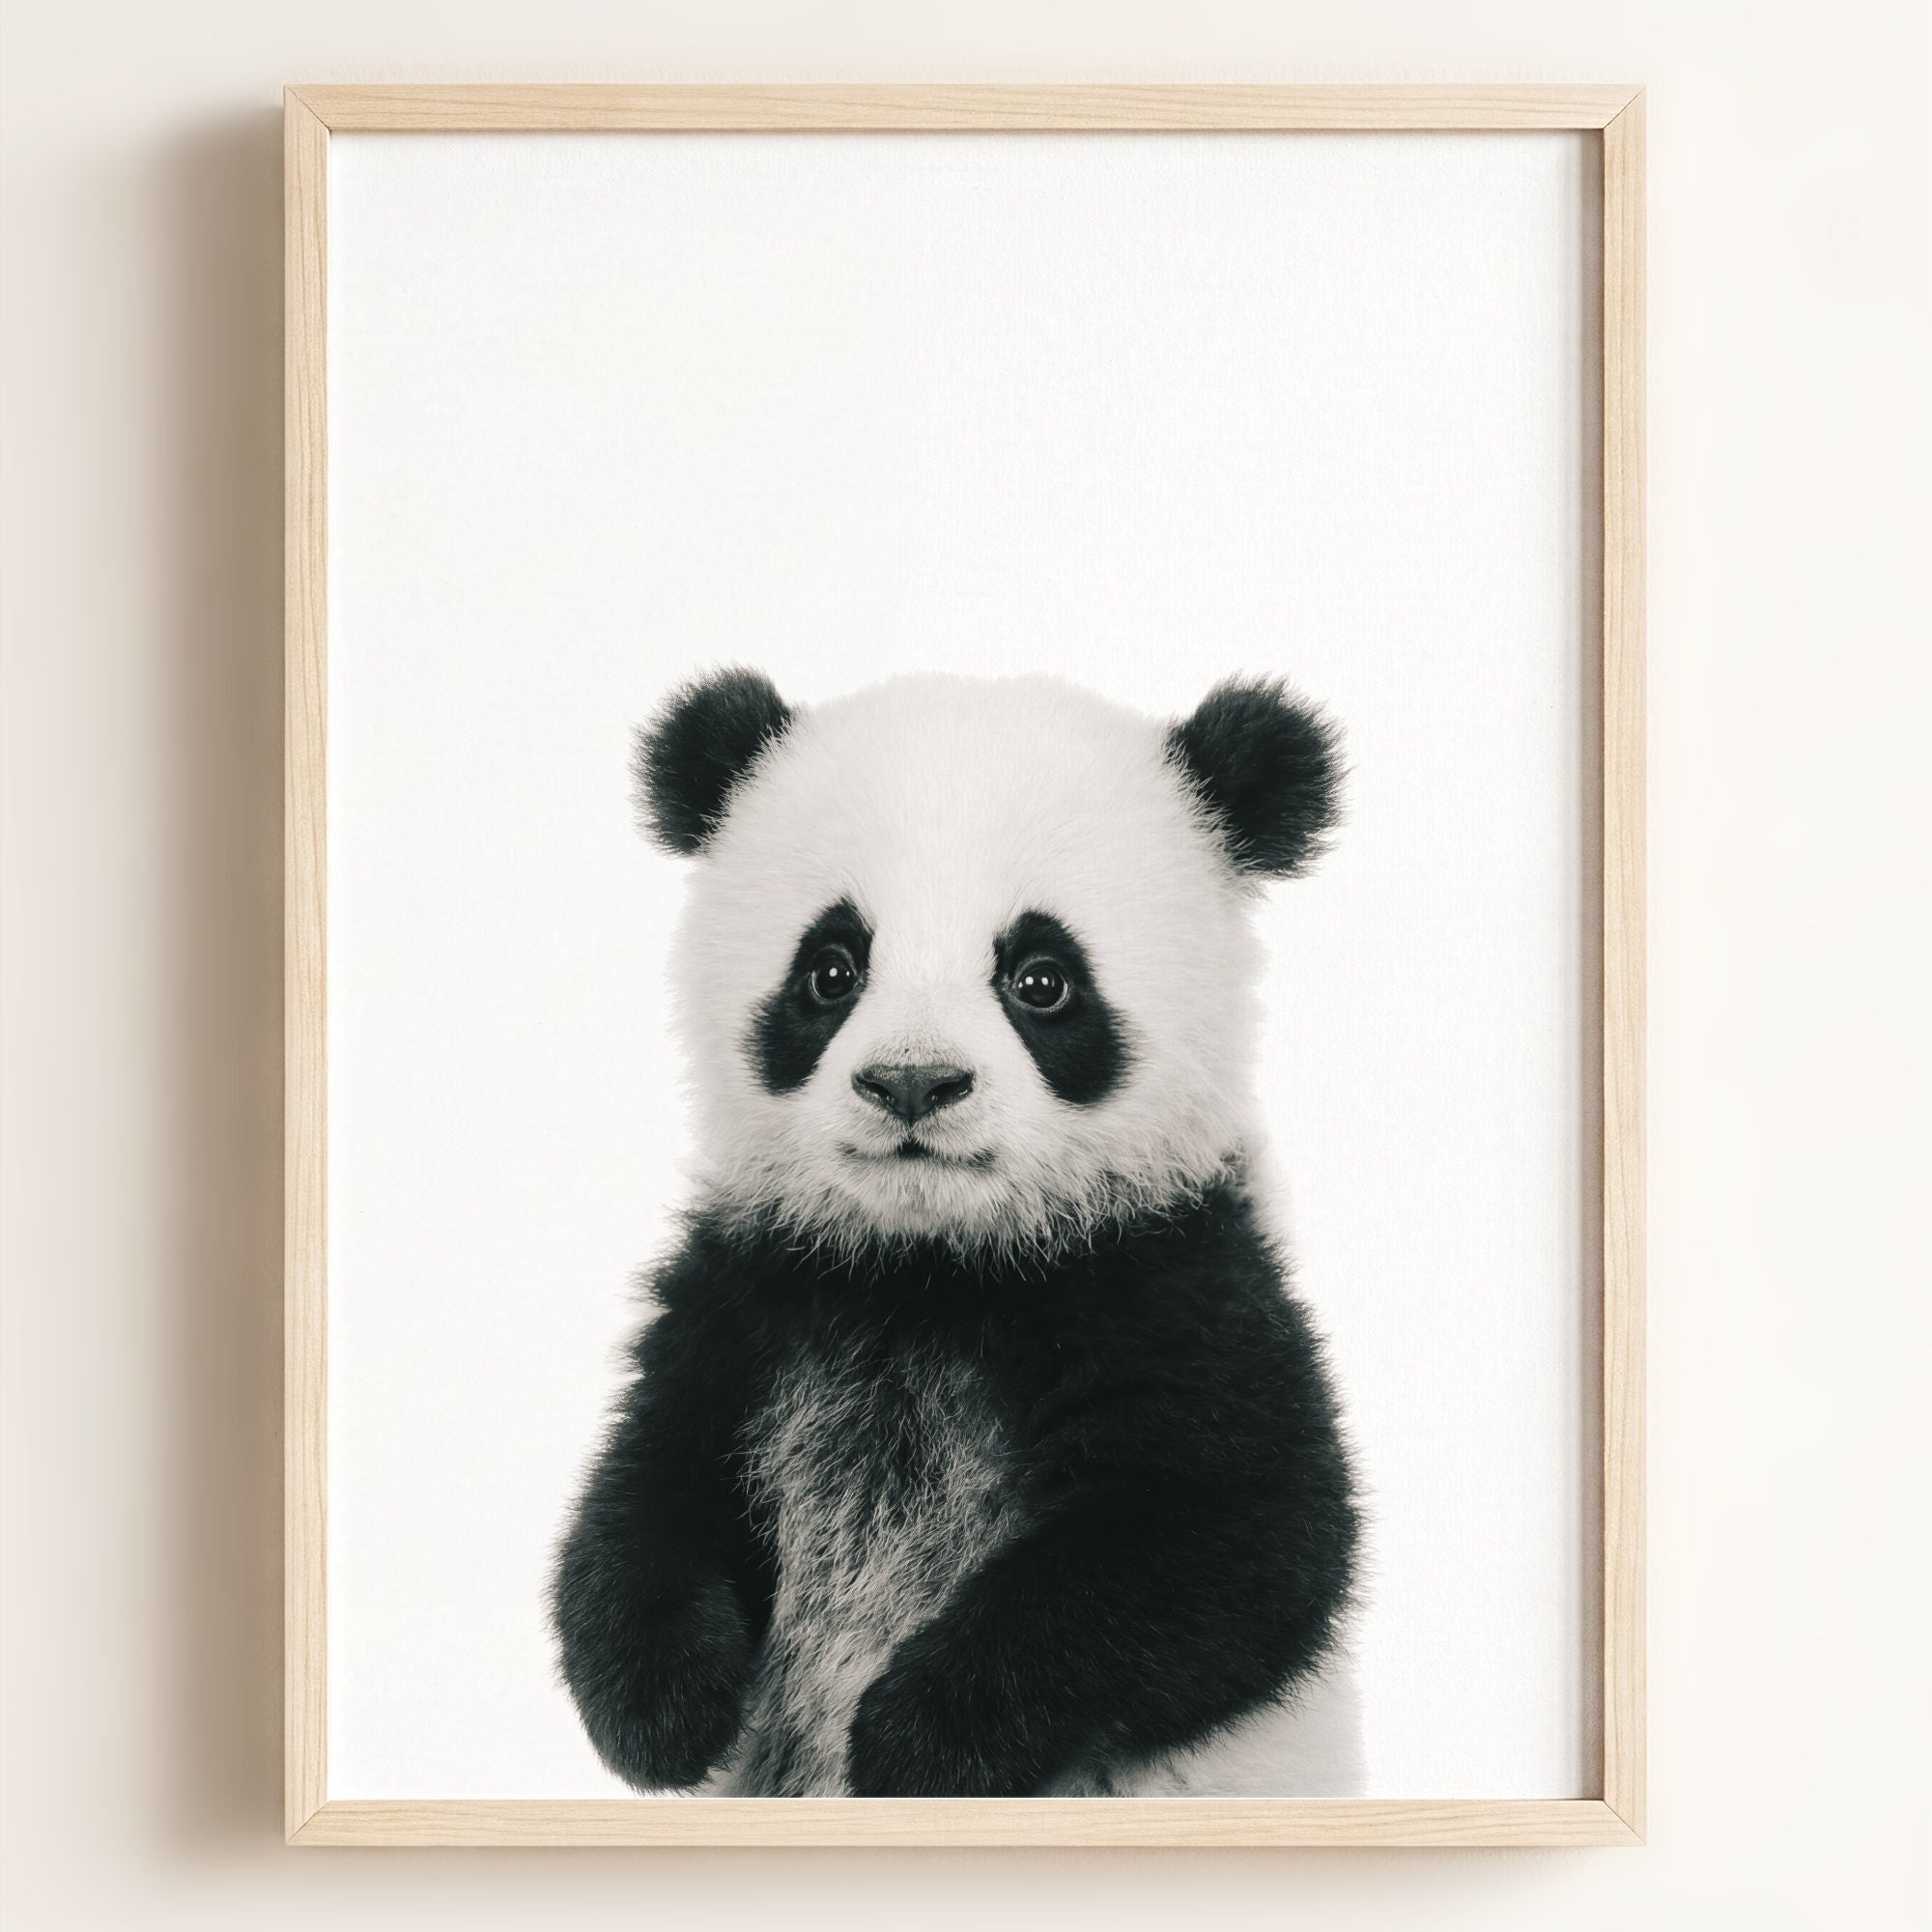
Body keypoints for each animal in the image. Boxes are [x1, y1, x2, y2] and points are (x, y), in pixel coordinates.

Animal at [552, 668, 1362, 1799]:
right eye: (831, 969)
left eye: (1041, 978)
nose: (911, 1081)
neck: (932, 1266)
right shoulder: (753, 1291)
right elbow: (650, 1486)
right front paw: (664, 1709)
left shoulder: (1173, 1279)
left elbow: (1233, 1538)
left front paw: (916, 1739)